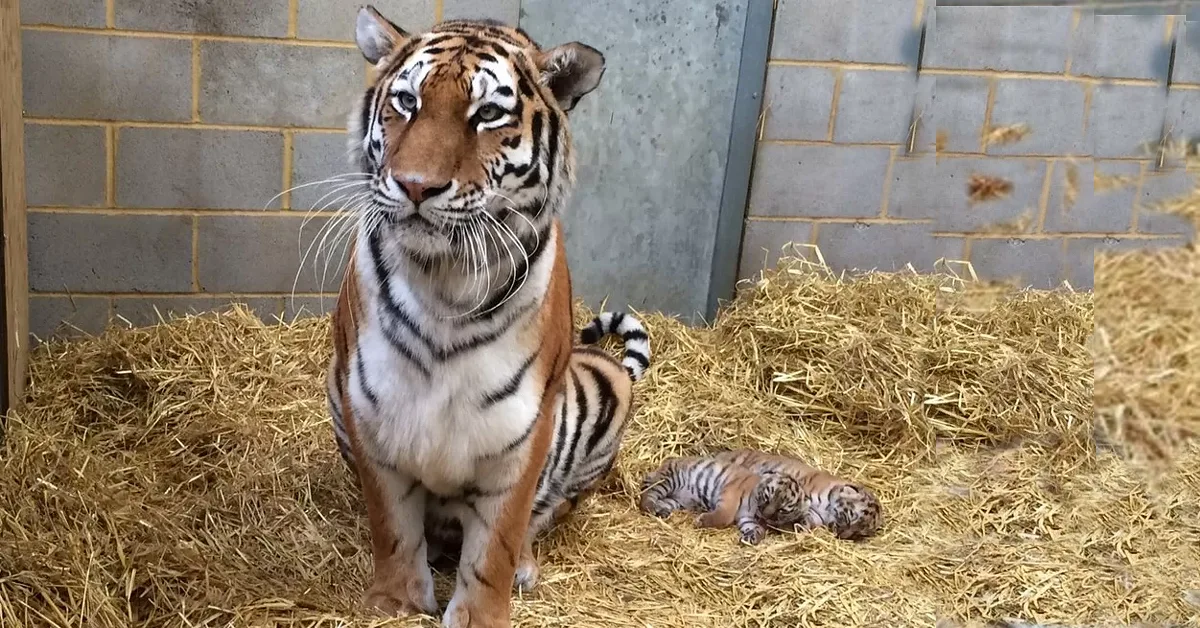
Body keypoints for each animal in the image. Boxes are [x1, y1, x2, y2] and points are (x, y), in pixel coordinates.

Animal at [328, 4, 628, 628]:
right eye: (407, 102)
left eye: (487, 113)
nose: (416, 186)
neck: (443, 281)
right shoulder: (368, 406)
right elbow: (392, 525)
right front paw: (395, 603)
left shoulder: (526, 427)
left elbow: (499, 537)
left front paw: (481, 612)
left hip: (605, 385)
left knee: (543, 516)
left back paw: (525, 568)